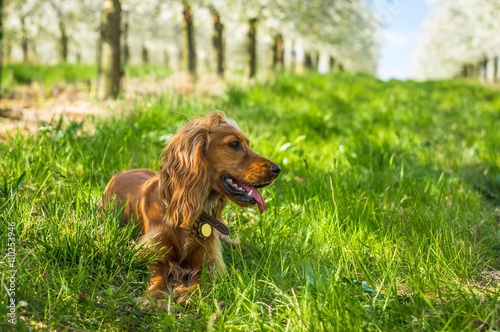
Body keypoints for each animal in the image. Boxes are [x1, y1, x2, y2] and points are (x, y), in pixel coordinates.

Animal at [100, 111, 282, 308]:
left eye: (247, 144)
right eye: (234, 144)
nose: (277, 169)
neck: (189, 215)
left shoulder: (211, 259)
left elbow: (206, 277)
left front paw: (189, 293)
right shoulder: (150, 250)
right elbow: (157, 275)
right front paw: (156, 297)